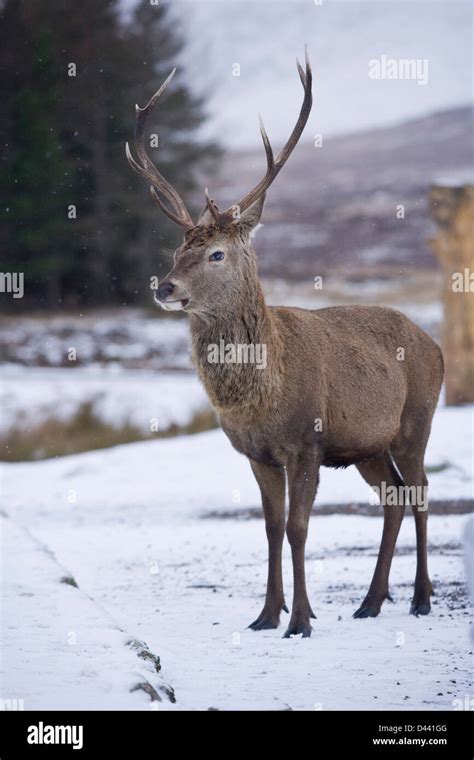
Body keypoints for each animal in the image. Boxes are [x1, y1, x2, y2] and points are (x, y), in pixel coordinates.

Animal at [126, 50, 444, 640]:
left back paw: (419, 598)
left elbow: (299, 527)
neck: (263, 394)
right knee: (391, 496)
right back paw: (371, 601)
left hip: (416, 420)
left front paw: (299, 620)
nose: (164, 288)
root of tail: (435, 345)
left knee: (419, 491)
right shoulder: (257, 453)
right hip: (367, 443)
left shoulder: (307, 443)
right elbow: (271, 528)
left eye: (217, 254)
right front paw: (266, 615)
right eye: (178, 249)